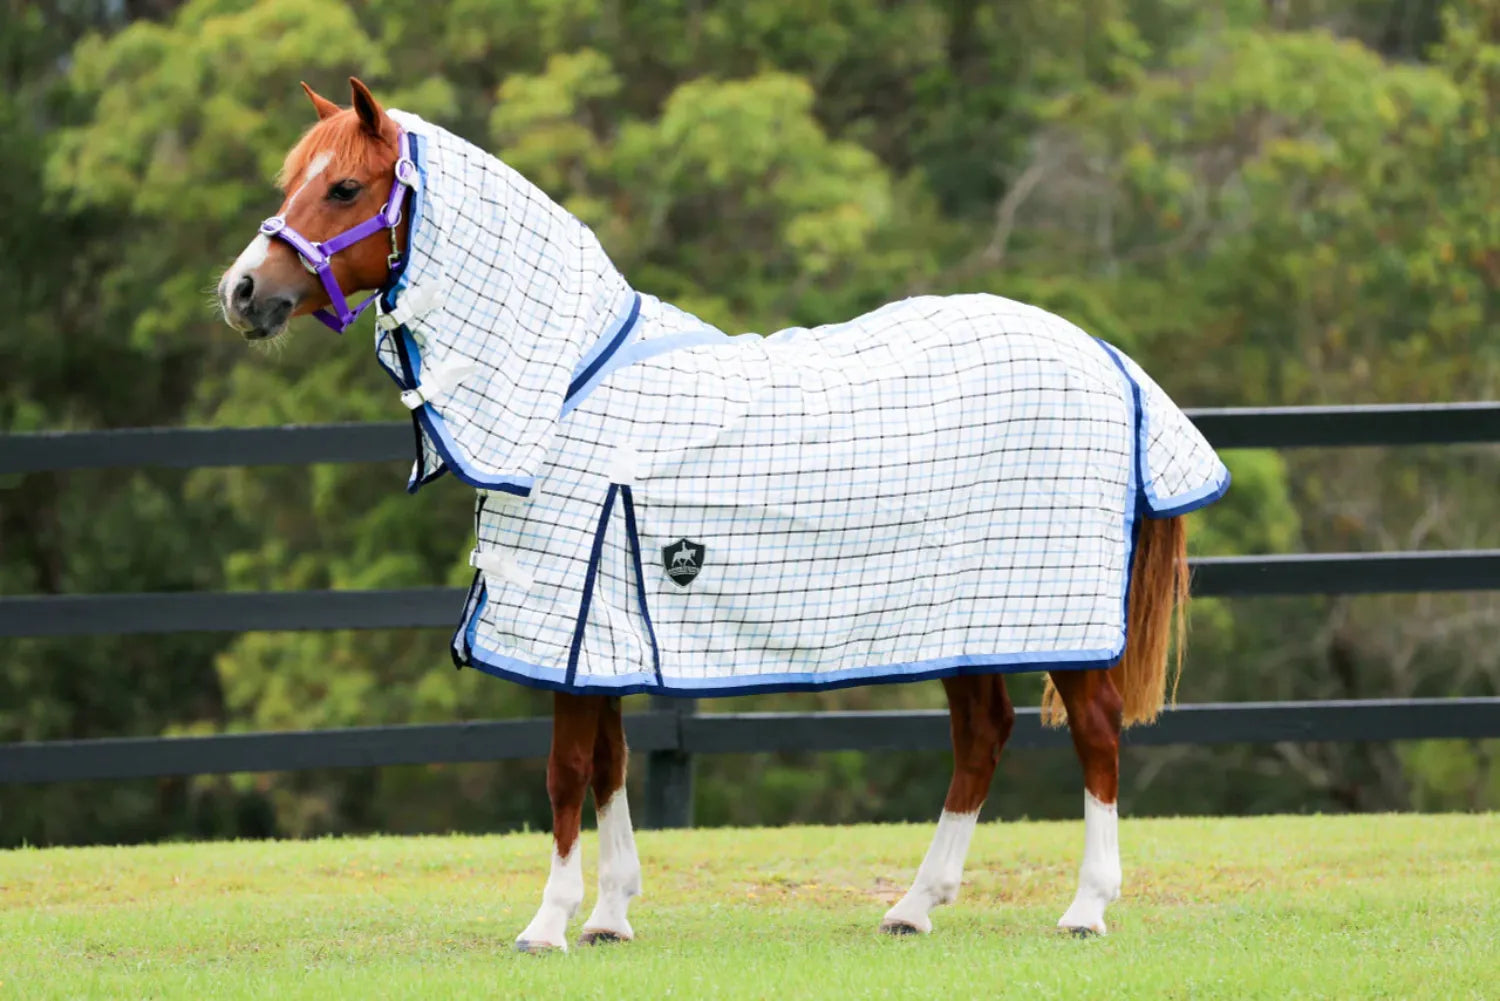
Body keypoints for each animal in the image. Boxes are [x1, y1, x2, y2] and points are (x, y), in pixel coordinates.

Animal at [219, 78, 1224, 952]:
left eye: (345, 187)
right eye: (290, 182)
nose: (240, 291)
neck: (568, 386)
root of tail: (1106, 356)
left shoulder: (571, 616)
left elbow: (566, 771)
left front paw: (548, 923)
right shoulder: (602, 624)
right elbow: (613, 763)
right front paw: (609, 915)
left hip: (1056, 613)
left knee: (1095, 731)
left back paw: (1086, 907)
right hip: (962, 618)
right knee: (982, 736)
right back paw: (914, 904)